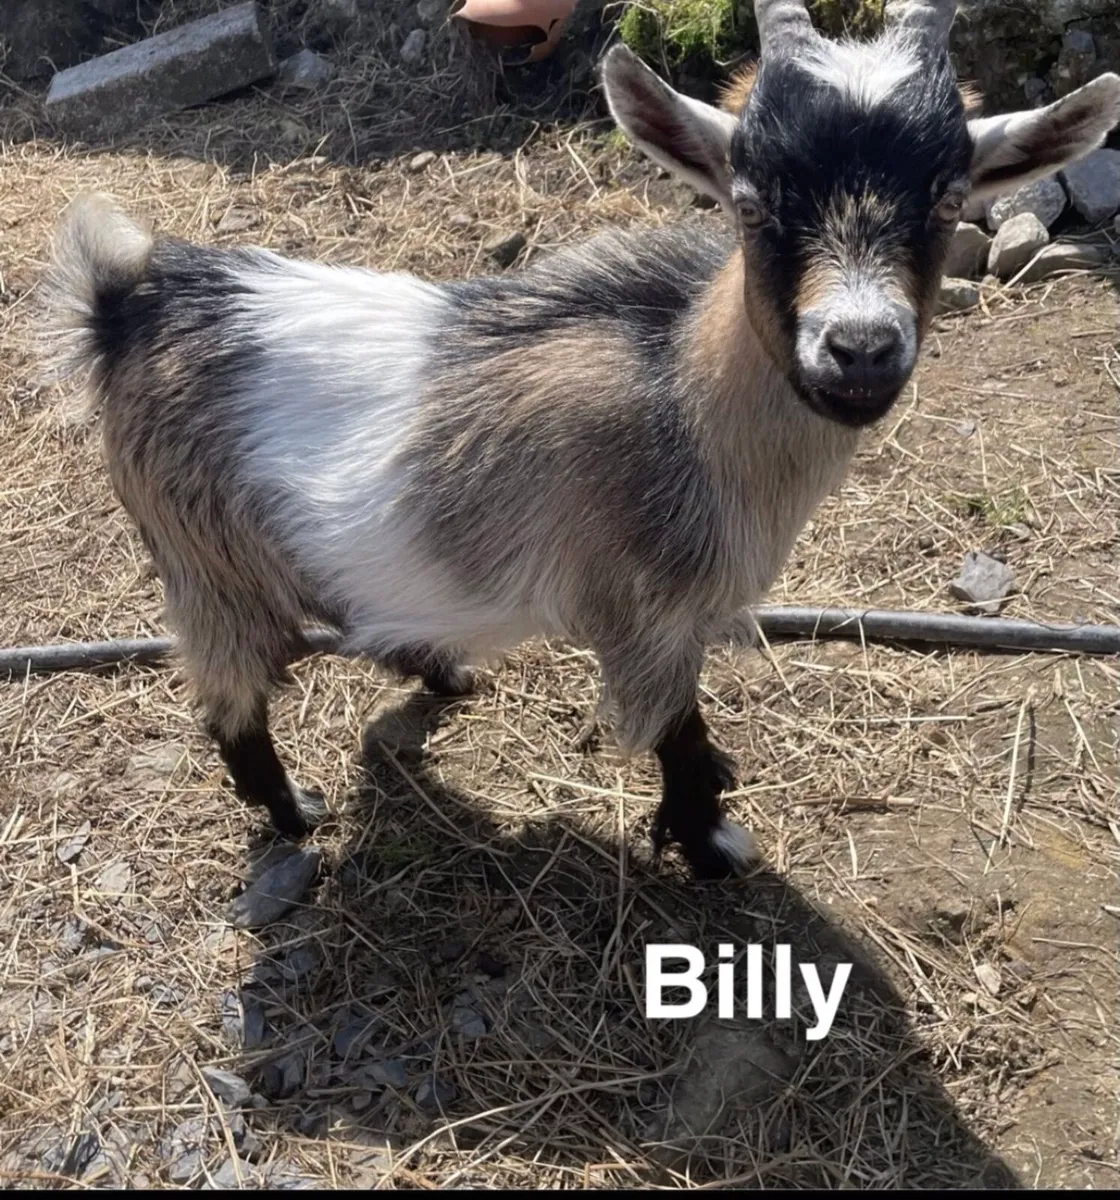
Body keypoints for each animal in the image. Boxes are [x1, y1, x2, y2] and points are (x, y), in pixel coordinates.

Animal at [42, 0, 1120, 879]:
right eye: (751, 201)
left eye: (946, 198)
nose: (858, 350)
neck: (685, 397)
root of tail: (128, 302)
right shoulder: (645, 614)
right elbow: (674, 729)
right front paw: (710, 841)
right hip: (203, 555)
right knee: (228, 697)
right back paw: (293, 813)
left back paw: (436, 668)